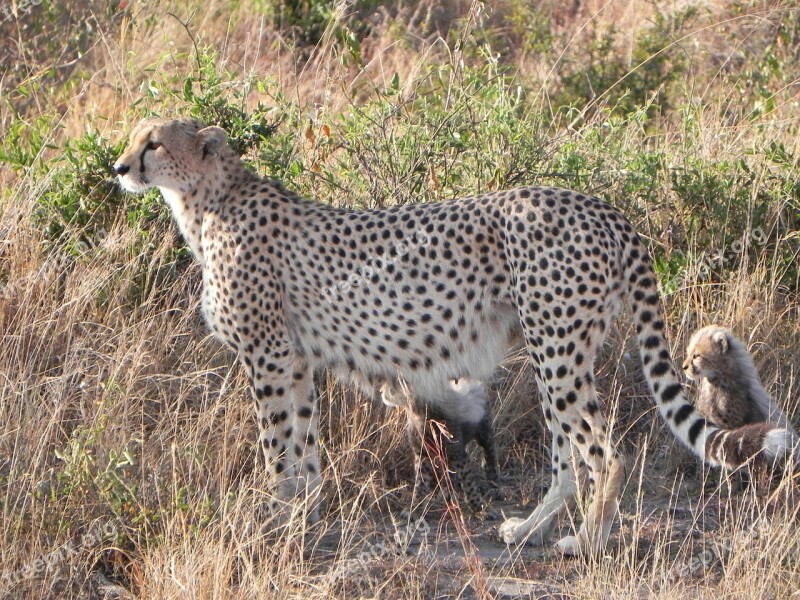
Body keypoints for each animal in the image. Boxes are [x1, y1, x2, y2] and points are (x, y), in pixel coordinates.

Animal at [382, 378, 500, 508]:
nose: (381, 390)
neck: (420, 413)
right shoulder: (422, 454)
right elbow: (420, 484)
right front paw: (416, 507)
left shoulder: (459, 455)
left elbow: (468, 483)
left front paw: (477, 505)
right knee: (451, 474)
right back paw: (448, 495)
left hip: (485, 434)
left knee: (490, 458)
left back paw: (494, 486)